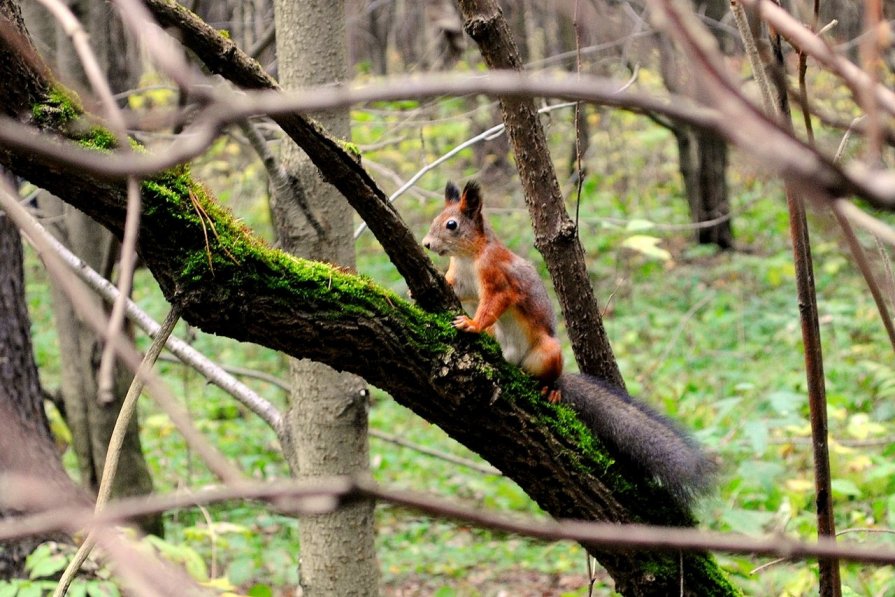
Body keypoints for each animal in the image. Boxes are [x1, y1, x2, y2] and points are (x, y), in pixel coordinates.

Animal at [424, 179, 716, 506]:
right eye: (437, 218)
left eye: (451, 225)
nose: (426, 244)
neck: (468, 256)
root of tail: (515, 361)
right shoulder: (461, 280)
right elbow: (454, 286)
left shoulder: (498, 279)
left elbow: (492, 306)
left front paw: (473, 324)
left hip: (548, 352)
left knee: (549, 375)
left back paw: (550, 390)